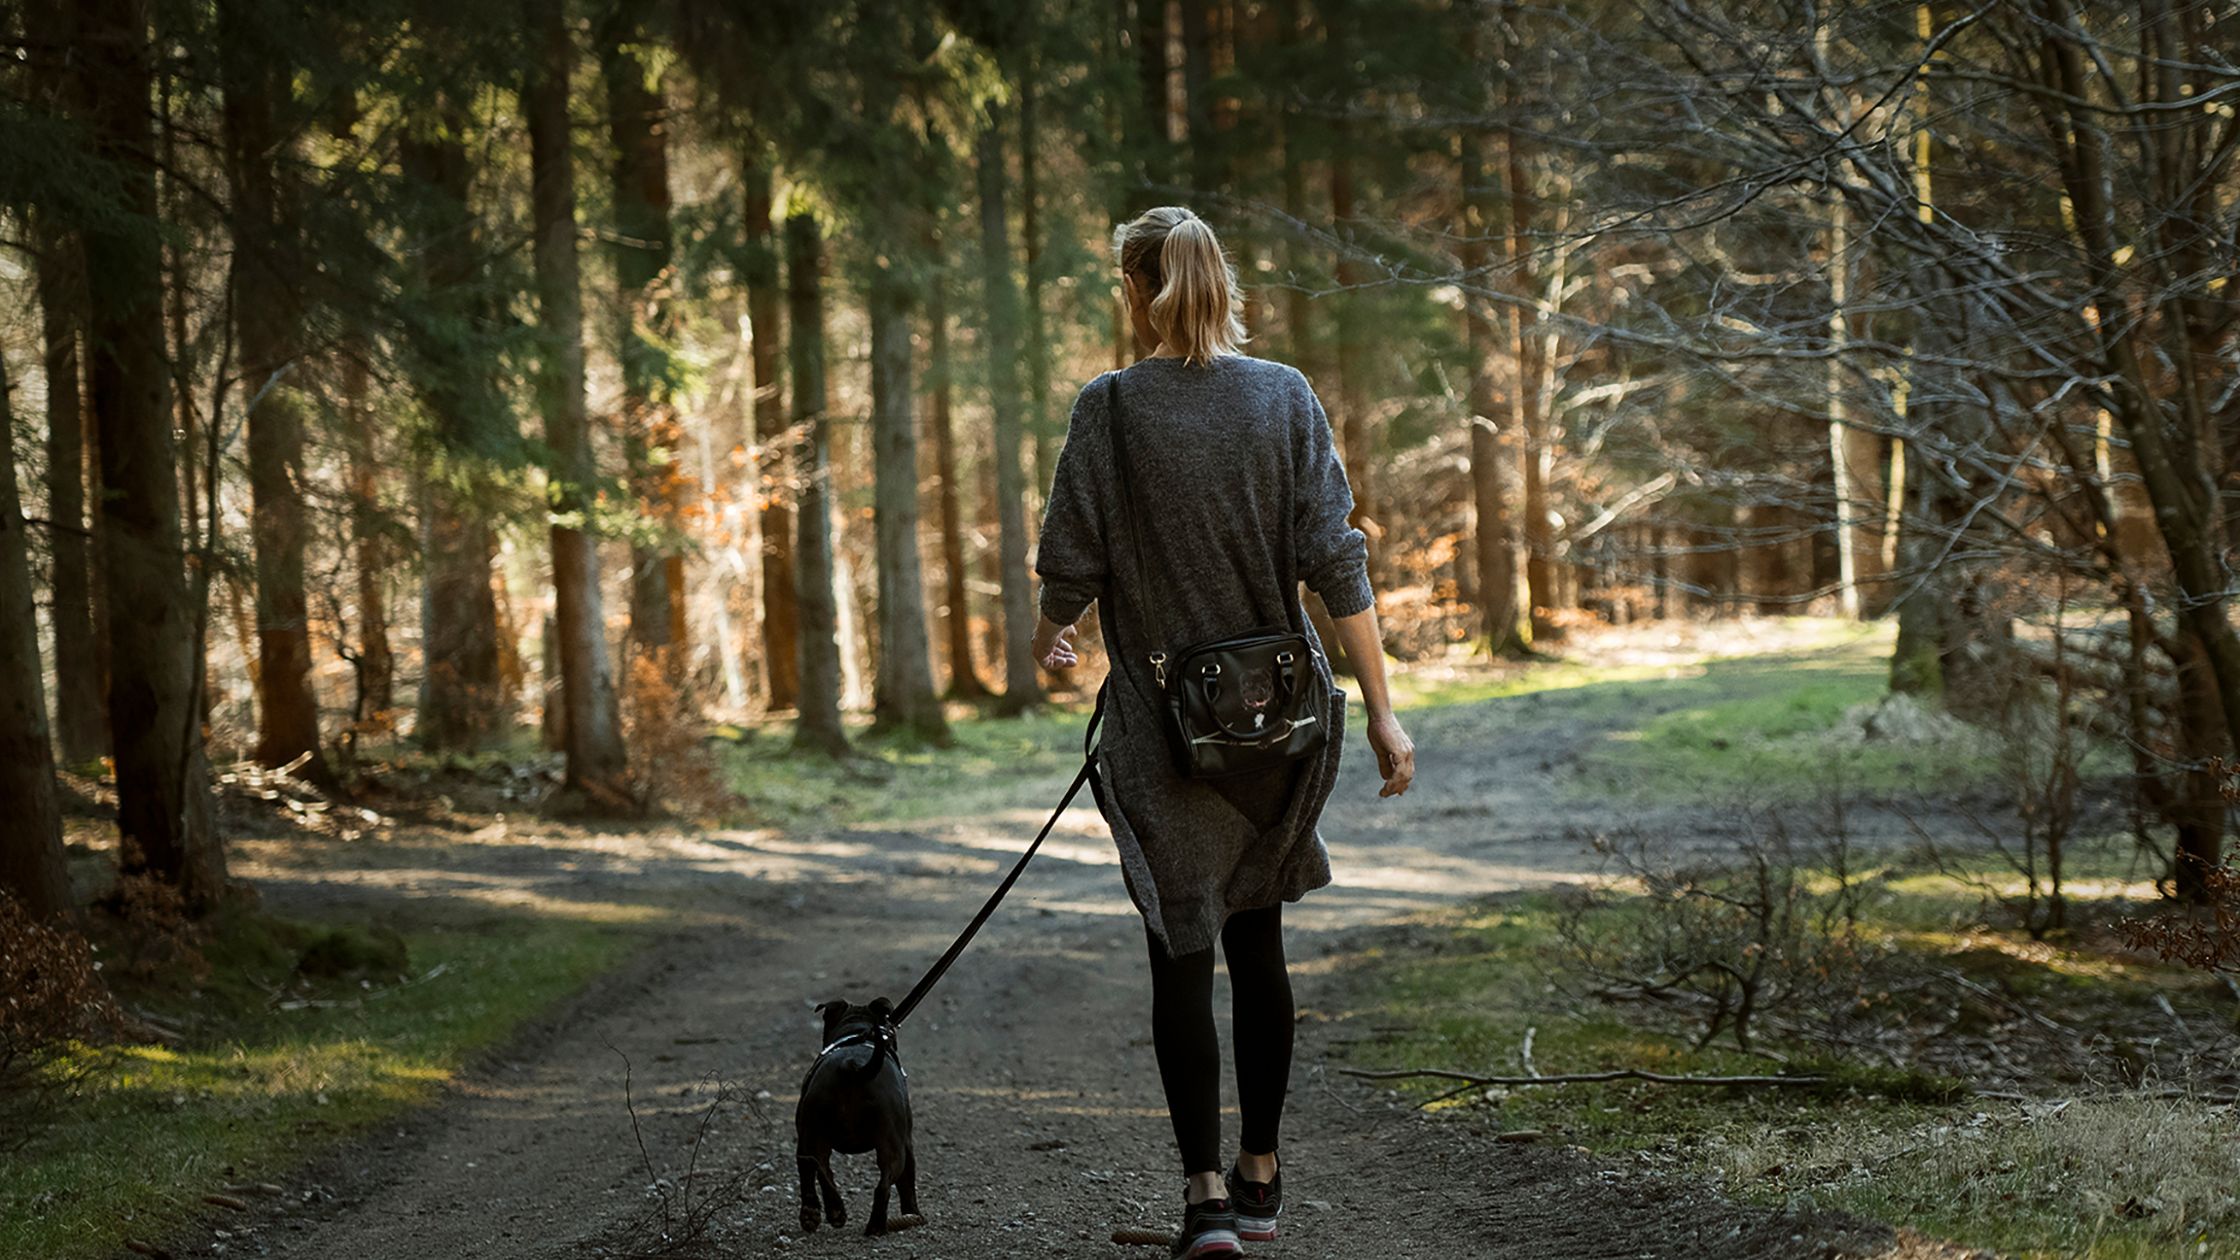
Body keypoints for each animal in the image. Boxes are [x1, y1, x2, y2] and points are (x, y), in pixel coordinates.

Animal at [797, 995, 918, 1228]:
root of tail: (851, 1067)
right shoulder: (907, 1144)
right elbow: (908, 1186)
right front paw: (913, 1214)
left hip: (813, 1134)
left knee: (818, 1167)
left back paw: (830, 1211)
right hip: (894, 1146)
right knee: (883, 1185)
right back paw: (875, 1226)